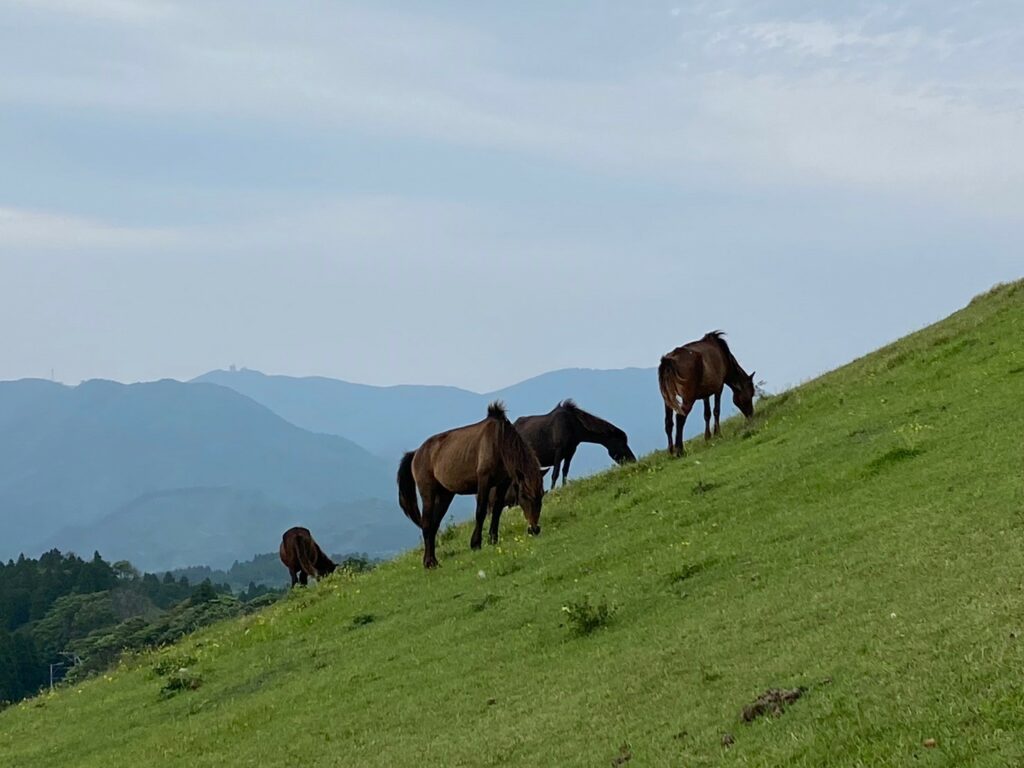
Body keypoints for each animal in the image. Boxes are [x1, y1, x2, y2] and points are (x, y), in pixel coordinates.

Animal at [395, 399, 548, 569]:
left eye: (541, 496)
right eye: (525, 496)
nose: (534, 529)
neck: (499, 441)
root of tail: (416, 453)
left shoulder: (503, 482)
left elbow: (497, 510)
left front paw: (493, 539)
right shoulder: (484, 480)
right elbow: (480, 512)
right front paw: (476, 543)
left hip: (445, 495)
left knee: (434, 525)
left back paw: (433, 560)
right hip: (428, 493)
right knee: (427, 524)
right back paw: (429, 562)